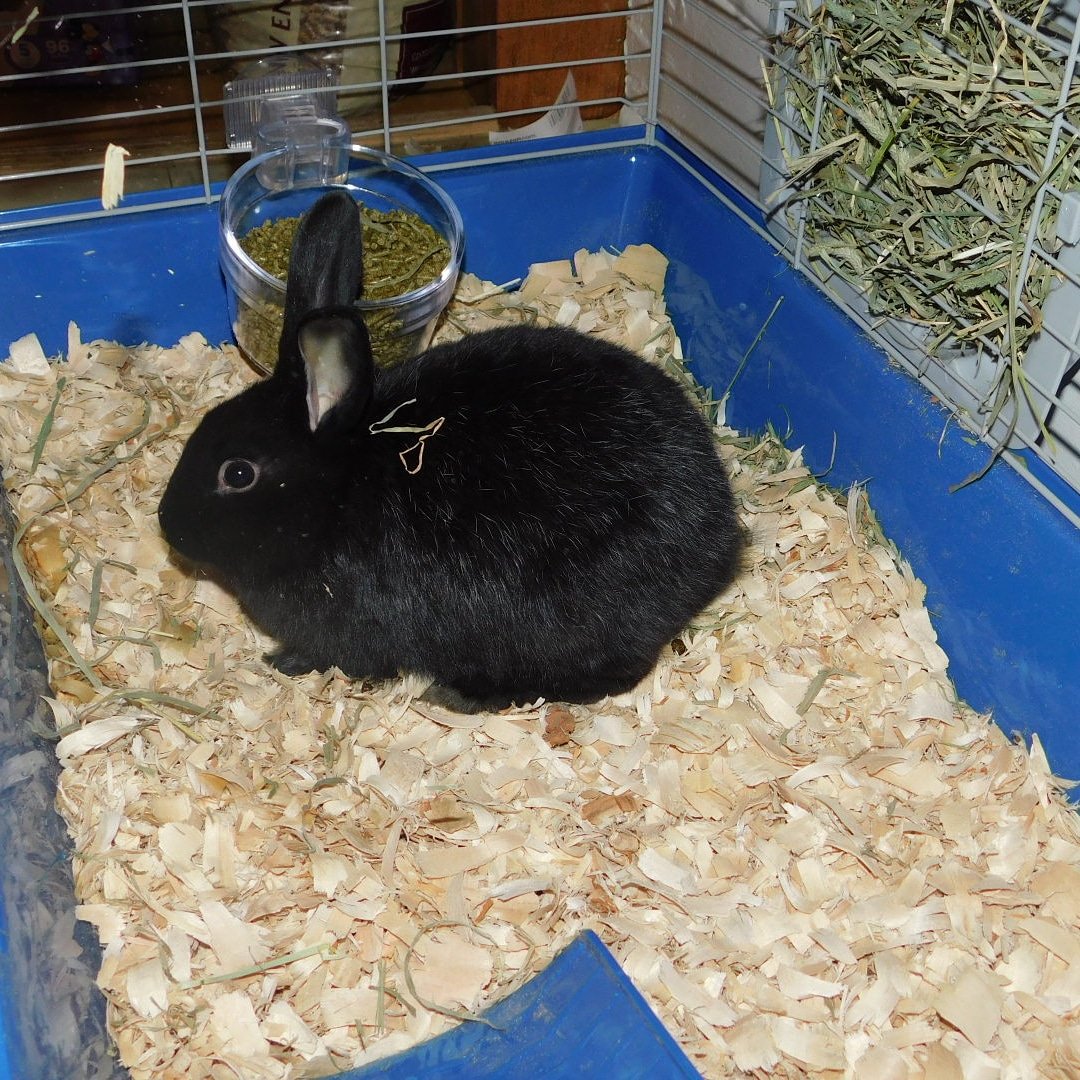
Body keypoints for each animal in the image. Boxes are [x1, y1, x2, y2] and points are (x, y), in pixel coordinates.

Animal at [157, 187, 743, 708]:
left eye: (237, 474)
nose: (167, 524)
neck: (336, 497)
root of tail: (719, 544)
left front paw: (281, 662)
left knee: (614, 674)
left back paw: (461, 696)